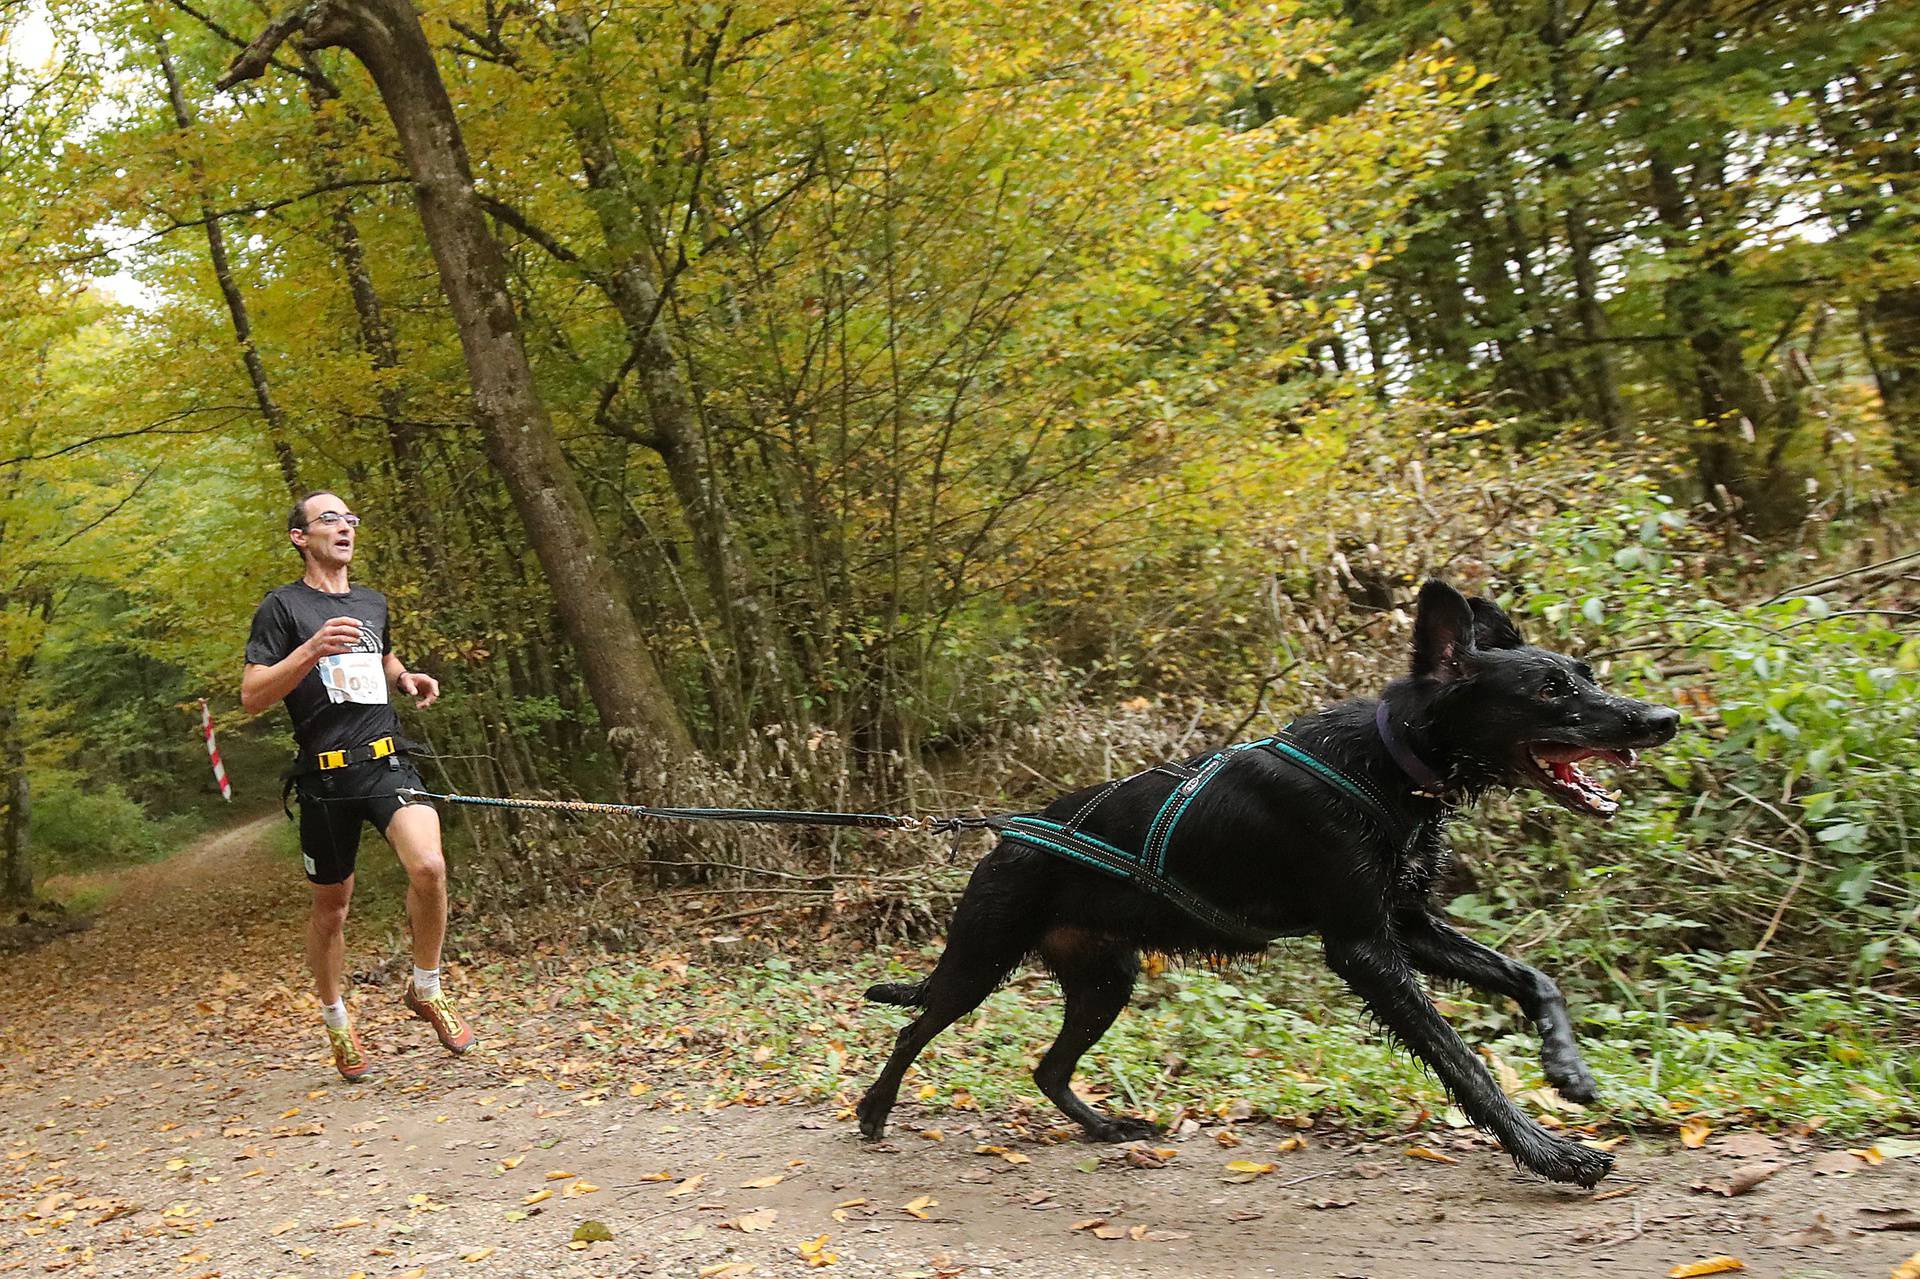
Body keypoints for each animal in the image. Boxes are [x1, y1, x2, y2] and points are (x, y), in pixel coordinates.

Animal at [860, 579, 1681, 1182]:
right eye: (1548, 689)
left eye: (1587, 676)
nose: (1663, 718)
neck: (1388, 763)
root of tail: (1009, 833)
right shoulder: (1364, 946)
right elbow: (1463, 1060)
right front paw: (1551, 1153)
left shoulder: (1407, 925)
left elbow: (1532, 977)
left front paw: (1567, 1069)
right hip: (981, 959)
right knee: (914, 1027)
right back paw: (874, 1110)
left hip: (1104, 981)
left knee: (1048, 1067)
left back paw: (1106, 1125)